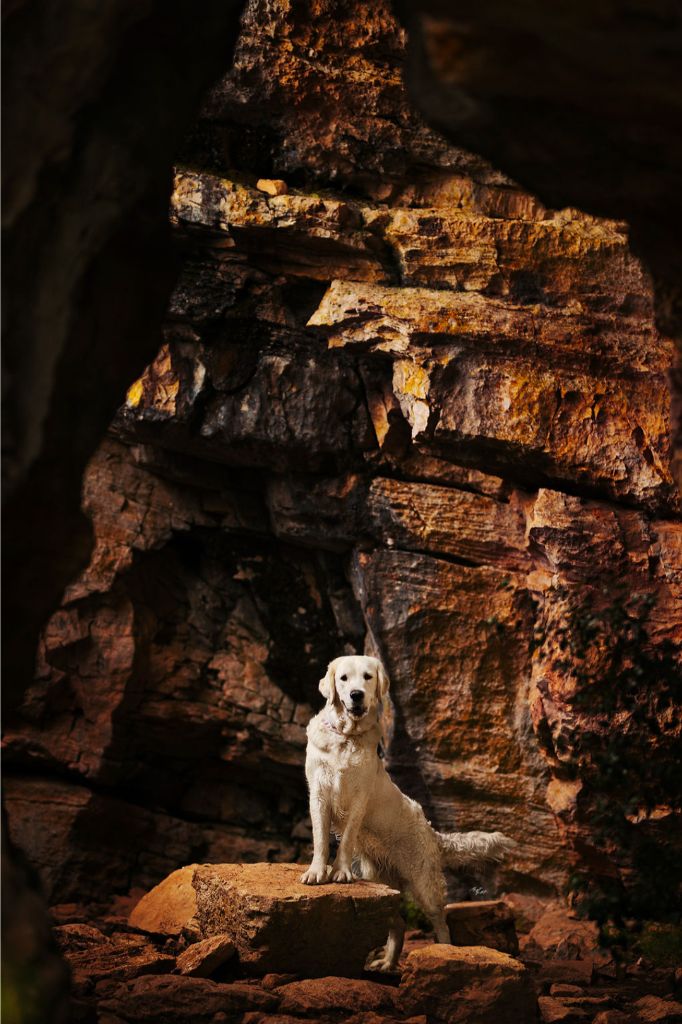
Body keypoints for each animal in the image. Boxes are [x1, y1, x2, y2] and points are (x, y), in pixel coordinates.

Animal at [301, 651, 512, 970]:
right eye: (344, 678)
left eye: (367, 677)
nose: (356, 695)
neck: (346, 738)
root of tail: (431, 830)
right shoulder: (318, 793)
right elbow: (320, 838)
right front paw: (317, 871)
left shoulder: (360, 797)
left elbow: (346, 839)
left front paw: (340, 872)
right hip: (381, 884)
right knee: (398, 922)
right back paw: (387, 963)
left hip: (424, 884)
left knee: (440, 922)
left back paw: (445, 953)